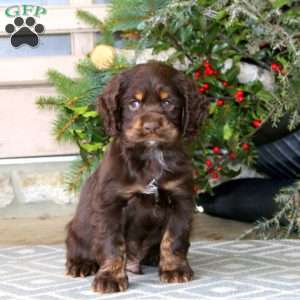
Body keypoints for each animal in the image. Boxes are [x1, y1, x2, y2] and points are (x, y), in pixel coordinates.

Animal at [65, 61, 209, 292]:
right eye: (133, 103)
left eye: (167, 102)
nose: (151, 127)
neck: (150, 157)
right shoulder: (111, 204)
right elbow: (112, 243)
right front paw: (110, 278)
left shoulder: (181, 199)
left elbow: (174, 238)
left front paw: (174, 269)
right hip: (77, 230)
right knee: (77, 246)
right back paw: (81, 264)